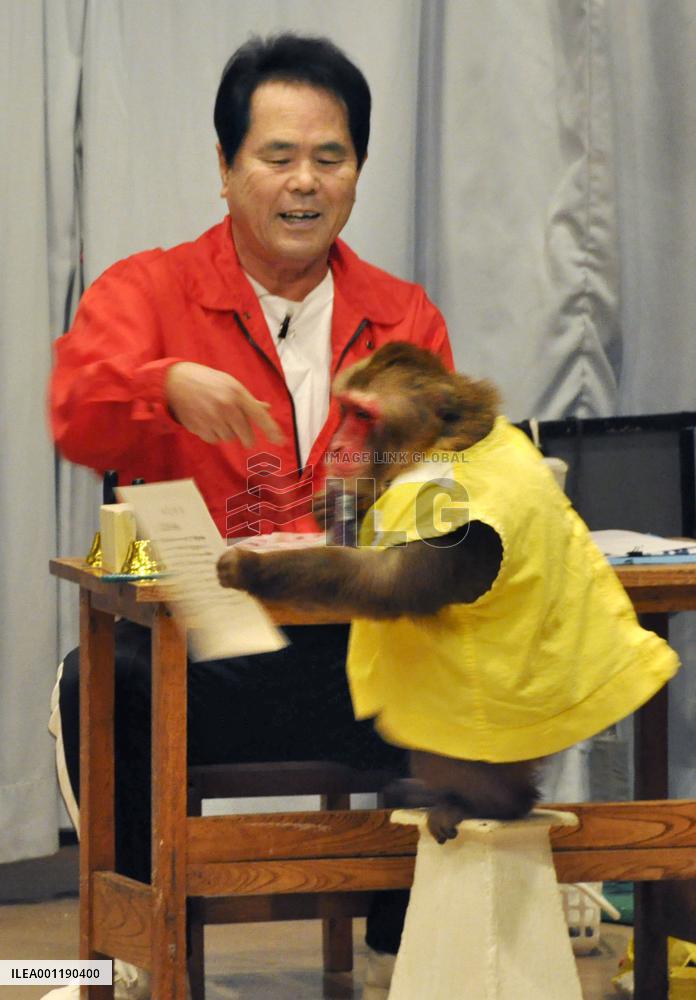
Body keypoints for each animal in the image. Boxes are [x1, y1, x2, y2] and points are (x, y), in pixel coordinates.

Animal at [217, 342, 680, 843]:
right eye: (345, 410)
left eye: (362, 414)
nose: (337, 447)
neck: (439, 442)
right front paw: (337, 504)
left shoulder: (439, 498)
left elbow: (384, 584)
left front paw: (254, 568)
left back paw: (492, 804)